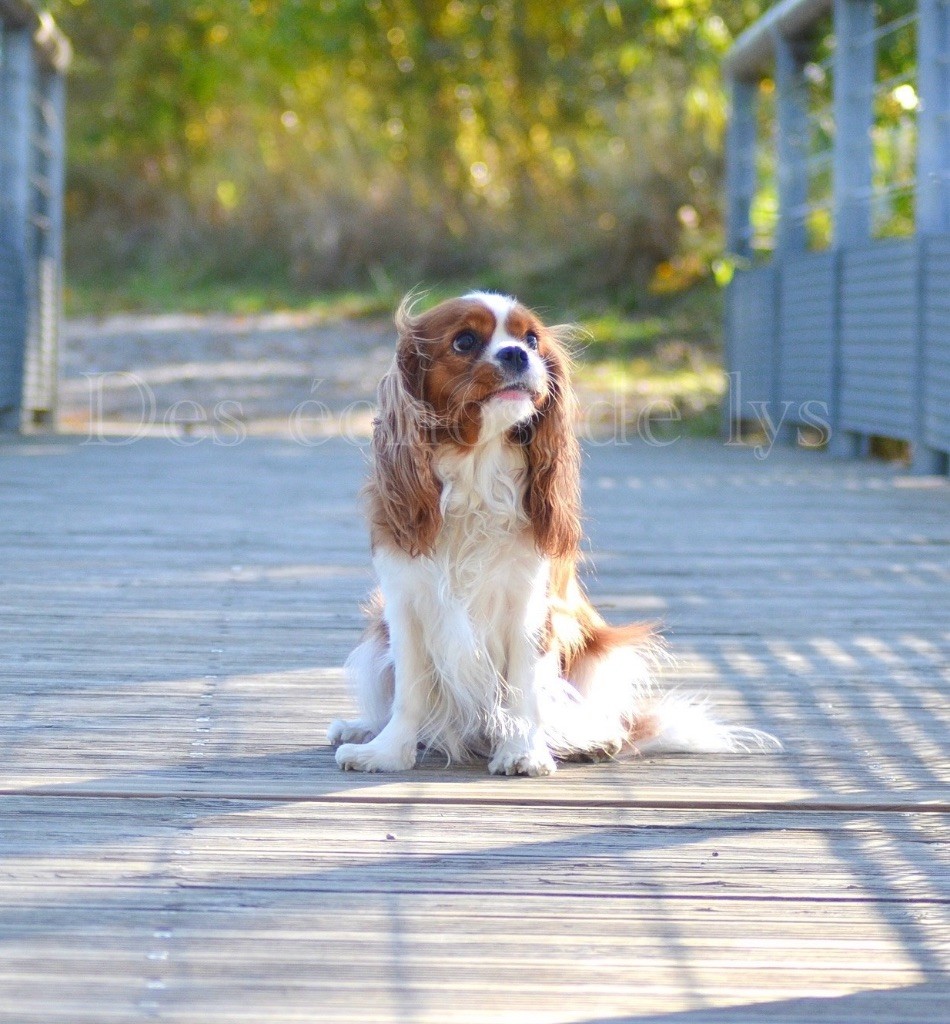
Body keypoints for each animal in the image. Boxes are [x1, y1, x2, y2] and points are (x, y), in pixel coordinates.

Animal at [327, 292, 769, 770]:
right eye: (464, 341)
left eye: (532, 341)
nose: (517, 354)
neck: (477, 471)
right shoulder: (406, 605)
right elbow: (409, 690)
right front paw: (387, 751)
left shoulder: (529, 608)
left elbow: (523, 686)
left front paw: (523, 752)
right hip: (377, 635)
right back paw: (361, 727)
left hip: (596, 650)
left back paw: (594, 739)